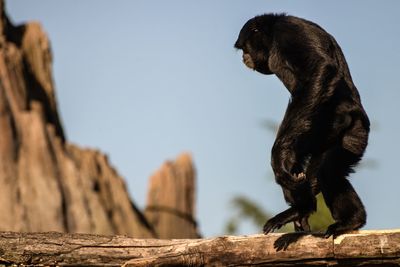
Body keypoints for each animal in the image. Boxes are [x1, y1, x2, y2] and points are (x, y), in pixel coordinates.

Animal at [234, 13, 368, 238]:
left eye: (244, 47)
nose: (243, 57)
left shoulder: (288, 32)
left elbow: (320, 69)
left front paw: (279, 154)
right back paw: (302, 210)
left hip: (353, 133)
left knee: (326, 171)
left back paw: (349, 220)